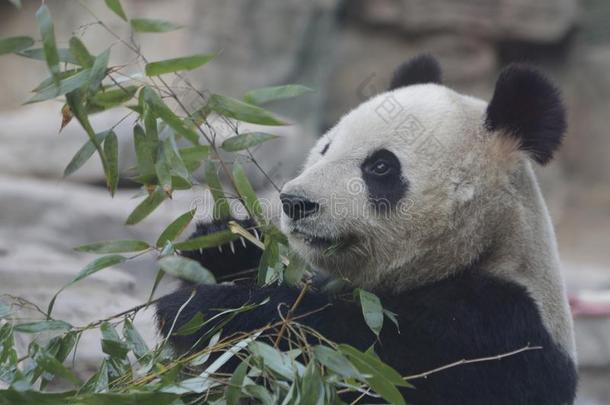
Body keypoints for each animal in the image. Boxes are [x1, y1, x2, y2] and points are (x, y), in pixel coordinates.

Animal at [156, 54, 576, 404]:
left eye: (380, 166)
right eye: (325, 148)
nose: (295, 202)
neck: (485, 248)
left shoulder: (488, 337)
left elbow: (344, 350)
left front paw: (202, 309)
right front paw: (223, 244)